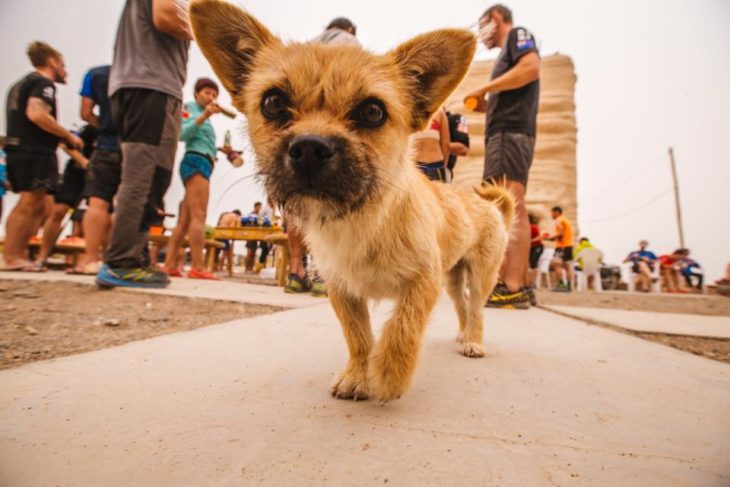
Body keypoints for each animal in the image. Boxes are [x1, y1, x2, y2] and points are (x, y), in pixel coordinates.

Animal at [191, 0, 516, 404]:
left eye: (373, 111)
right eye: (273, 103)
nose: (309, 148)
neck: (361, 218)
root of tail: (492, 208)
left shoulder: (423, 281)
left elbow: (403, 328)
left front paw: (389, 375)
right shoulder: (342, 290)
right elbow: (358, 336)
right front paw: (358, 376)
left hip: (481, 275)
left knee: (476, 308)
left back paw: (474, 341)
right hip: (454, 278)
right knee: (462, 306)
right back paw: (463, 334)